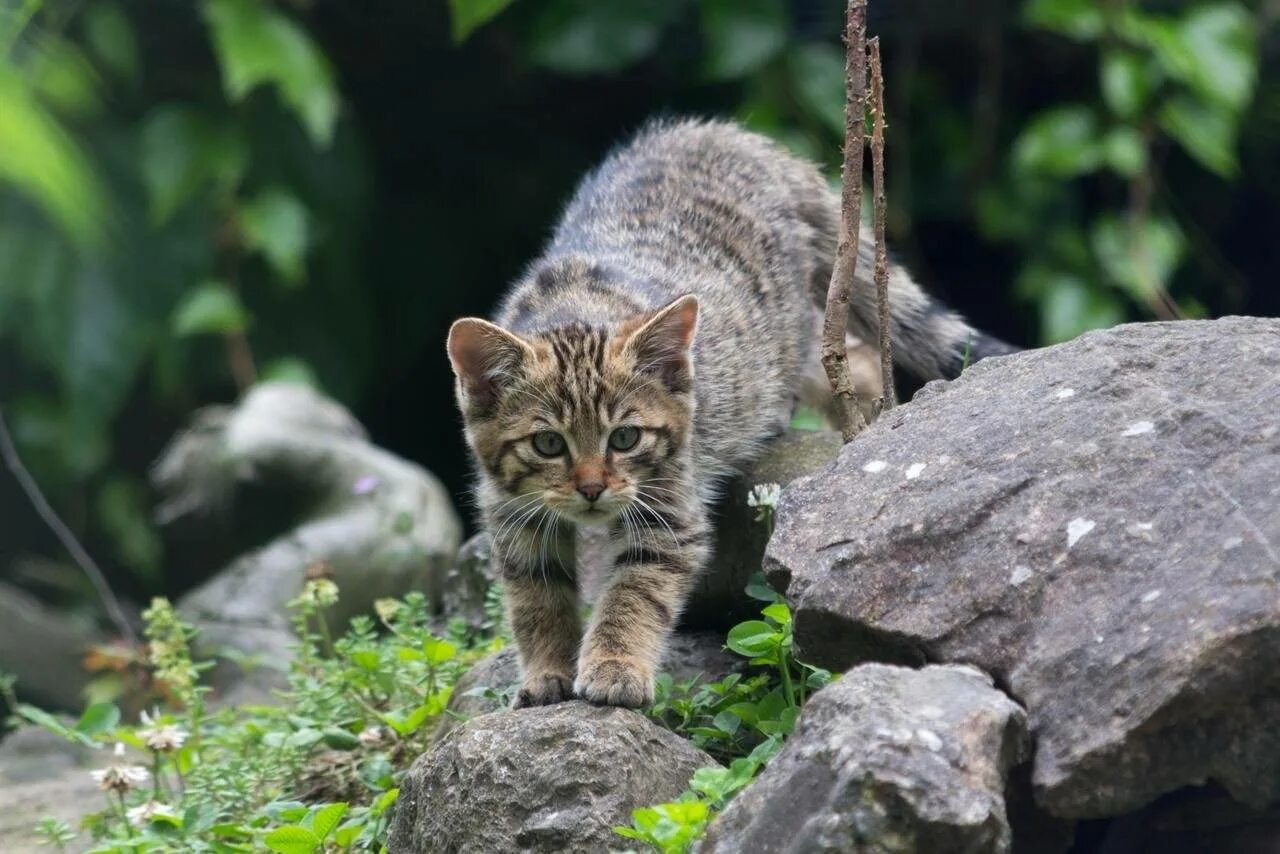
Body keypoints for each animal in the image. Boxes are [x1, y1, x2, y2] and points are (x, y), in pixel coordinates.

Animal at [445, 120, 1013, 706]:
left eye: (625, 438)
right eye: (548, 444)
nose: (592, 488)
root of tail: (740, 139)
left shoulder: (671, 506)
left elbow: (635, 591)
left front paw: (614, 666)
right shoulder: (512, 515)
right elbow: (536, 597)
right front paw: (546, 672)